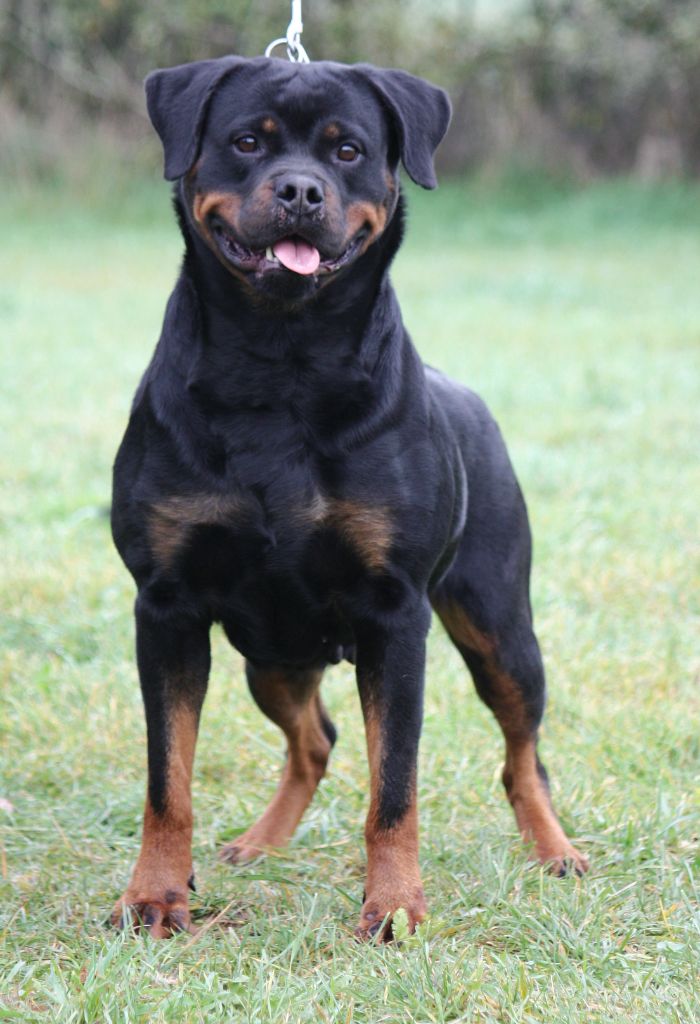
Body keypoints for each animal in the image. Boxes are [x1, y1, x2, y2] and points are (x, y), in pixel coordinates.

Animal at [110, 55, 588, 941]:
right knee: (316, 738)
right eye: (248, 141)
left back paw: (555, 849)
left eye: (347, 150)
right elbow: (169, 782)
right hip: (271, 654)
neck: (282, 358)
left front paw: (395, 907)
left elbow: (393, 786)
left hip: (501, 631)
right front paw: (153, 895)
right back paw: (259, 843)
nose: (300, 190)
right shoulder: (167, 607)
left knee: (523, 755)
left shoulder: (394, 615)